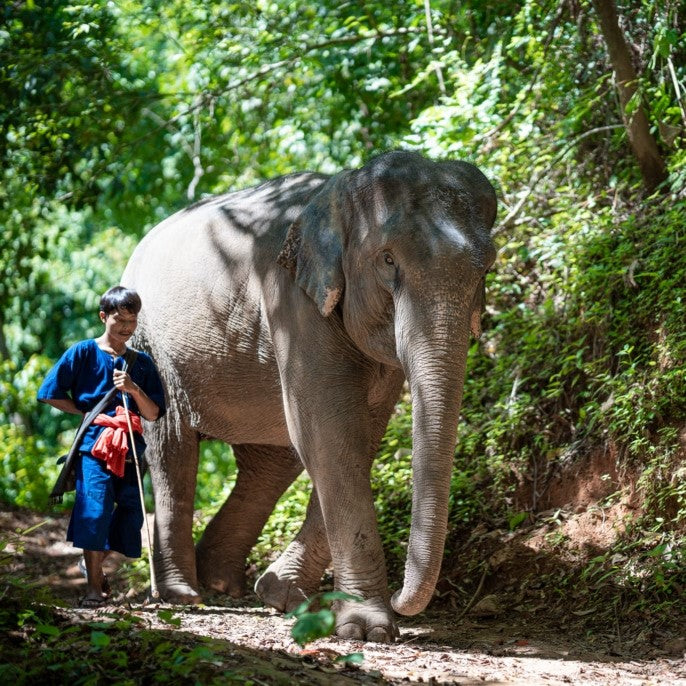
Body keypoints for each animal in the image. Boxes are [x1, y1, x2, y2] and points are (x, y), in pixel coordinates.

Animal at [122, 150, 500, 644]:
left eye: (486, 267)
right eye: (387, 259)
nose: (403, 598)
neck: (341, 189)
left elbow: (357, 437)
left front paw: (281, 595)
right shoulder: (291, 300)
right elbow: (331, 433)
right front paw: (367, 630)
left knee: (270, 461)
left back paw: (224, 583)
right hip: (150, 349)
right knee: (173, 450)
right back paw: (183, 595)